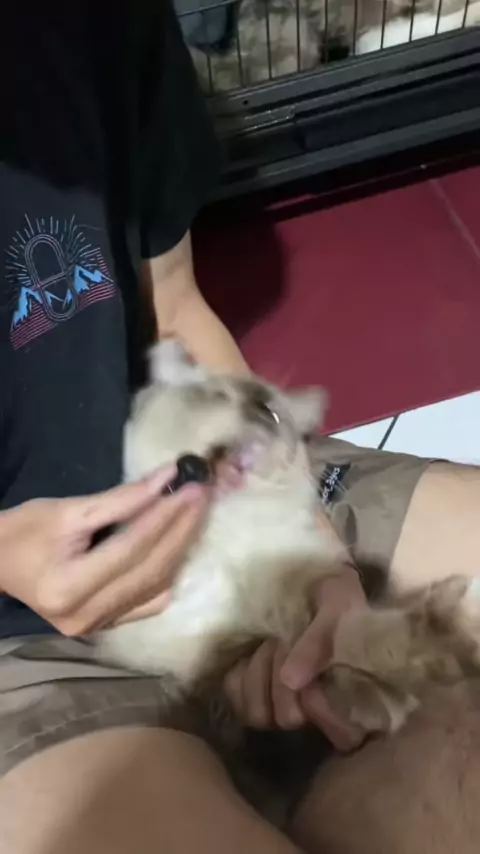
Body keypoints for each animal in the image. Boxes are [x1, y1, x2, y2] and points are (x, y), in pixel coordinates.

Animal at [97, 340, 480, 739]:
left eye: (273, 414)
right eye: (218, 396)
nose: (260, 414)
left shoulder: (307, 611)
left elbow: (361, 641)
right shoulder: (220, 658)